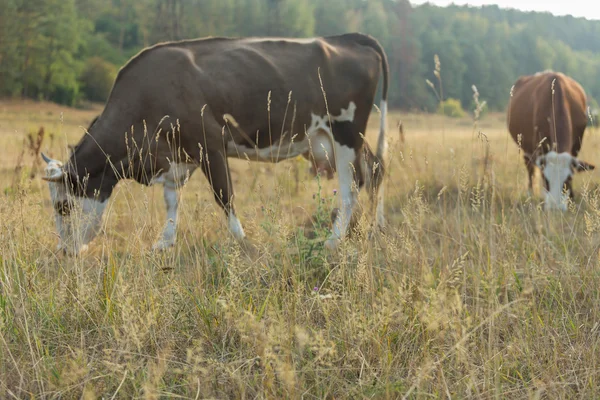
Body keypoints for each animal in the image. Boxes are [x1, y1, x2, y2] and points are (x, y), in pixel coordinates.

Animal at [42, 33, 390, 253]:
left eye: (63, 206)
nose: (63, 251)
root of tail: (345, 38)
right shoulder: (175, 157)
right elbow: (172, 201)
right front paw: (164, 243)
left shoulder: (210, 145)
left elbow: (225, 198)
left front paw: (245, 245)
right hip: (334, 138)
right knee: (374, 170)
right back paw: (371, 230)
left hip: (345, 131)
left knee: (351, 186)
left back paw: (334, 240)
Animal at [506, 70, 596, 211]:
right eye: (546, 179)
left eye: (568, 179)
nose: (555, 207)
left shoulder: (576, 146)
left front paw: (571, 198)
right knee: (530, 168)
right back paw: (530, 193)